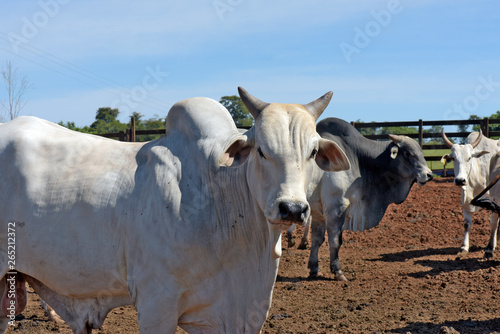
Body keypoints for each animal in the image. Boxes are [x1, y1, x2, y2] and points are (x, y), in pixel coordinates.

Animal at [304, 118, 434, 280]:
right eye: (408, 153)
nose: (429, 175)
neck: (357, 159)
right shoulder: (336, 207)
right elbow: (335, 241)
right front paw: (338, 271)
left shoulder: (318, 212)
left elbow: (317, 240)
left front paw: (314, 269)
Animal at [442, 129, 500, 258]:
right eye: (453, 158)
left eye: (469, 158)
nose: (460, 180)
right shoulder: (466, 201)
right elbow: (467, 224)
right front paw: (464, 247)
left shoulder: (495, 200)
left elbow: (493, 222)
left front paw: (490, 247)